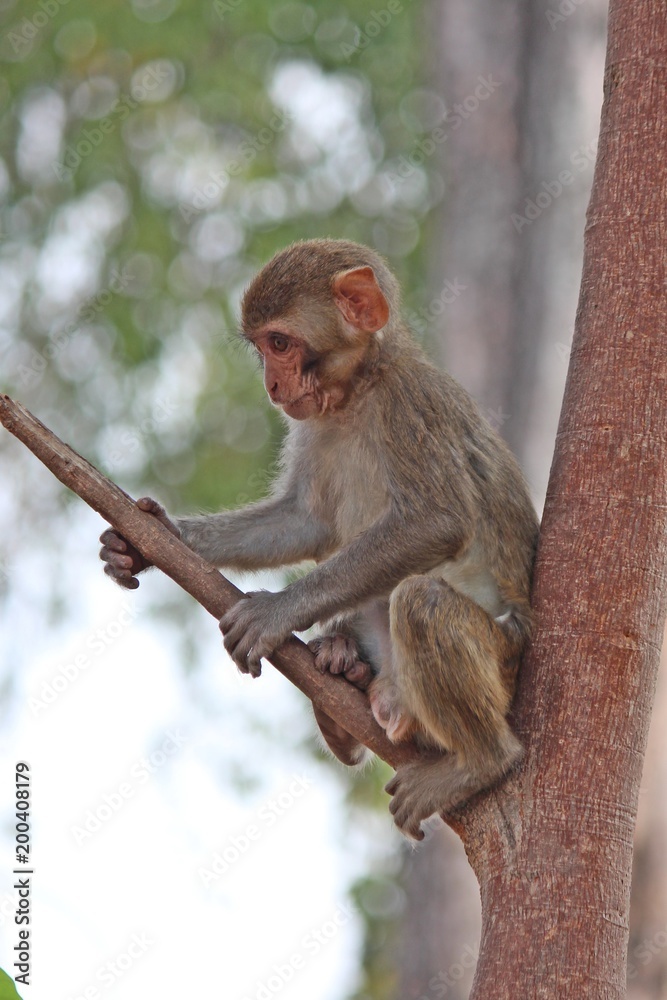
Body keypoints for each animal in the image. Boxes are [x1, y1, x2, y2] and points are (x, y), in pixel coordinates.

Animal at [99, 238, 539, 840]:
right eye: (263, 349)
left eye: (280, 343)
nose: (272, 385)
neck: (360, 389)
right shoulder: (312, 423)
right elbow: (305, 522)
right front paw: (152, 538)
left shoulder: (409, 402)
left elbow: (438, 522)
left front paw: (276, 611)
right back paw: (342, 667)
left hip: (506, 660)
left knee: (420, 600)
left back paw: (482, 761)